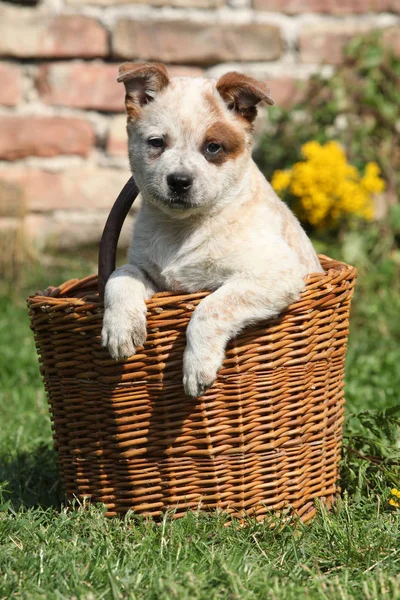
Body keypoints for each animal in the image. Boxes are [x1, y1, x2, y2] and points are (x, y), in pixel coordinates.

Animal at [101, 62, 324, 398]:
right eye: (156, 143)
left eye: (213, 147)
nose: (179, 181)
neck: (182, 229)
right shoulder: (153, 276)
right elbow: (120, 276)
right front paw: (120, 328)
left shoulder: (274, 274)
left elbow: (210, 307)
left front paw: (197, 367)